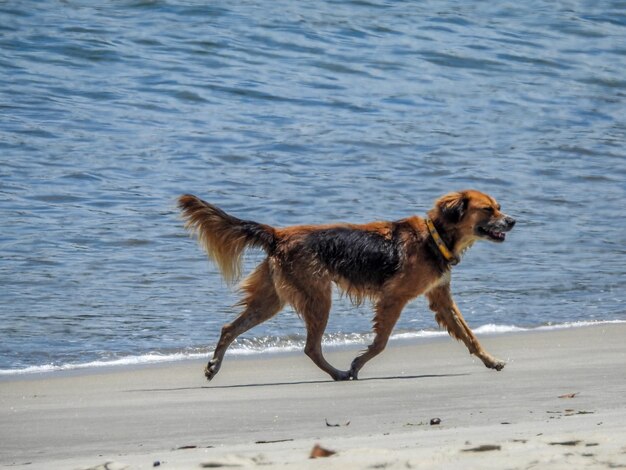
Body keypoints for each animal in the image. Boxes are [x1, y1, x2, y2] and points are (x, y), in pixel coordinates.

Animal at [176, 189, 512, 380]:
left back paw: (214, 366)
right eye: (488, 209)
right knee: (311, 347)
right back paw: (339, 373)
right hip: (317, 296)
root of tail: (278, 235)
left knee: (229, 328)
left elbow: (469, 336)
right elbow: (381, 342)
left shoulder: (441, 298)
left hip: (272, 299)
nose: (513, 220)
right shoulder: (394, 297)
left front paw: (491, 360)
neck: (435, 237)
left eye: (499, 206)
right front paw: (357, 365)